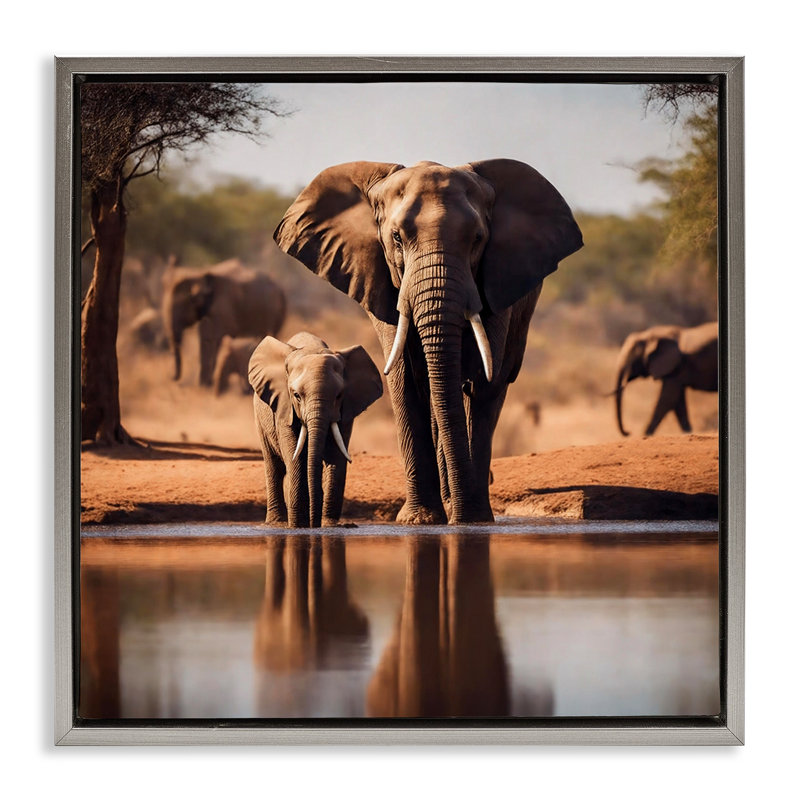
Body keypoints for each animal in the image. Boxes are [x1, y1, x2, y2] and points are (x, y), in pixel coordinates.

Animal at [249, 332, 384, 528]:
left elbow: (336, 456)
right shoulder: (284, 407)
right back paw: (276, 523)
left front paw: (329, 525)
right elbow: (295, 457)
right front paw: (298, 526)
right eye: (296, 395)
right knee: (274, 466)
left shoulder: (346, 410)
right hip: (261, 419)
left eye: (339, 395)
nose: (314, 524)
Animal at [273, 159, 583, 524]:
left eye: (478, 239)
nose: (461, 516)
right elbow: (405, 379)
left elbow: (484, 382)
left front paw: (474, 519)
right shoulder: (384, 284)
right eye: (396, 237)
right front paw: (421, 520)